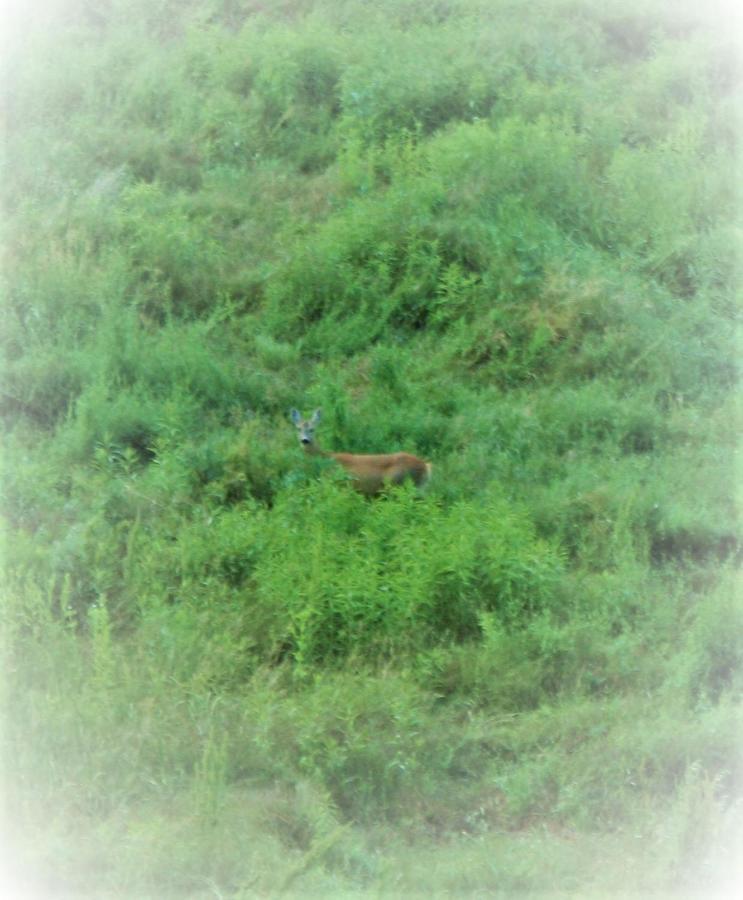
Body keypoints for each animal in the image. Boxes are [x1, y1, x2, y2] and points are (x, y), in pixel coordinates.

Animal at [290, 410, 434, 496]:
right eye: (298, 429)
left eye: (312, 429)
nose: (305, 440)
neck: (326, 459)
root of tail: (425, 466)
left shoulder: (341, 486)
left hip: (399, 484)